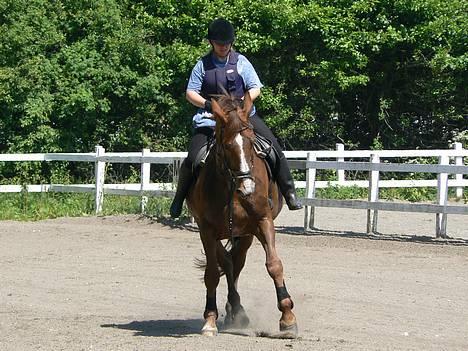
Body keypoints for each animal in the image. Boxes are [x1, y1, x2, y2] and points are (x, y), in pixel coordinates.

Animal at [186, 91, 298, 338]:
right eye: (227, 146)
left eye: (250, 143)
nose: (248, 188)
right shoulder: (206, 230)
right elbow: (211, 273)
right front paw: (210, 320)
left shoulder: (263, 221)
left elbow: (274, 265)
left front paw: (287, 318)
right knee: (227, 263)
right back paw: (234, 309)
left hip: (245, 234)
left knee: (235, 262)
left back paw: (236, 310)